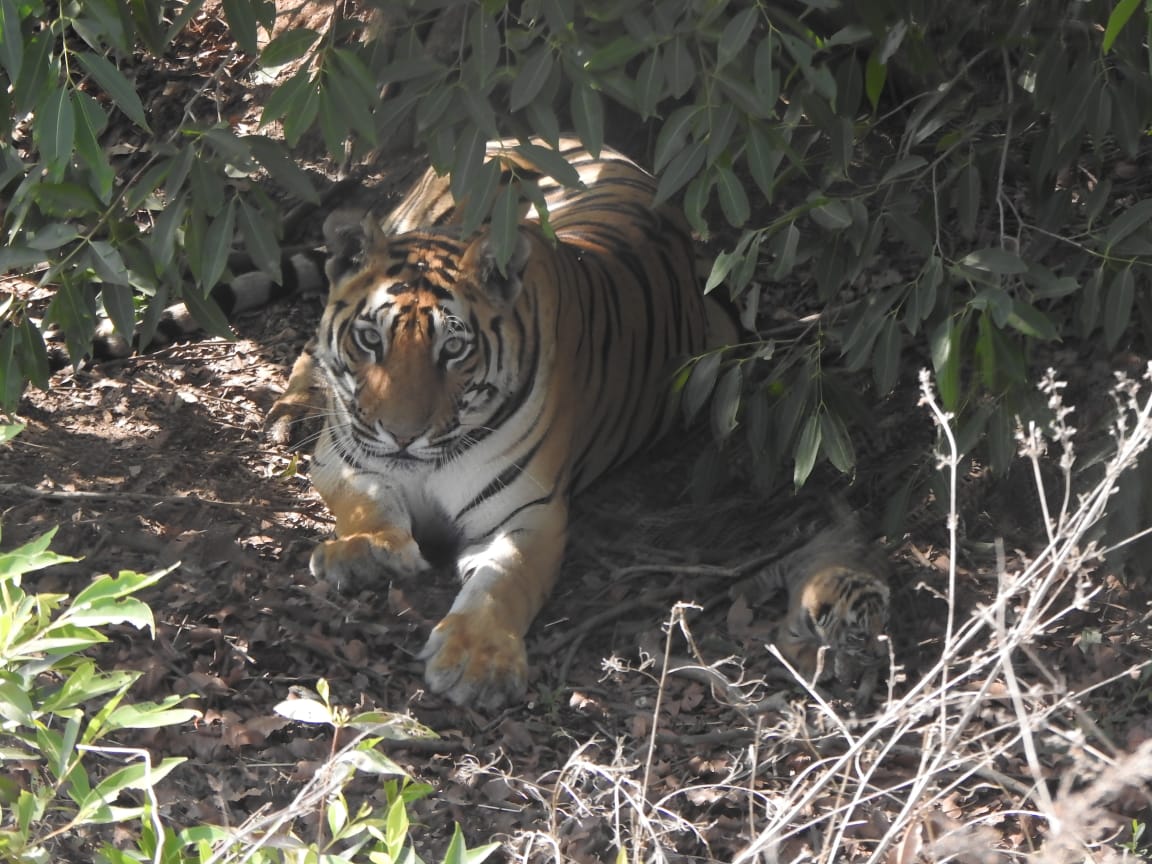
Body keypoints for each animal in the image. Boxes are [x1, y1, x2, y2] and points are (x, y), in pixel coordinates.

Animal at [269, 137, 737, 709]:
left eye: (453, 349)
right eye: (370, 339)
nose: (402, 435)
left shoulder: (526, 514)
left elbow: (502, 580)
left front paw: (476, 659)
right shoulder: (344, 458)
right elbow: (368, 502)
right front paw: (366, 553)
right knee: (307, 352)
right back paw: (288, 414)